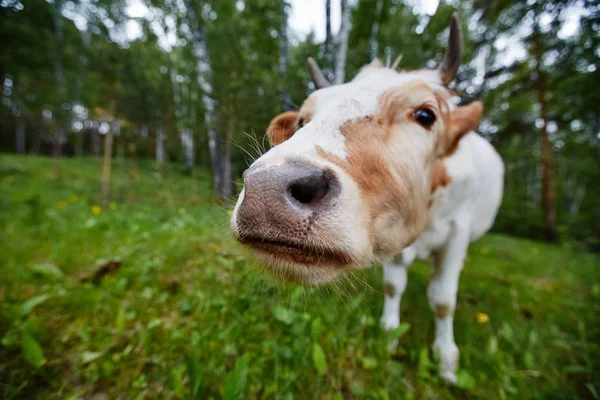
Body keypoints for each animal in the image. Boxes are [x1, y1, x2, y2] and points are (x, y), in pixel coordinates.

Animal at [232, 14, 504, 382]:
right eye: (302, 120)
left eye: (426, 115)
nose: (268, 188)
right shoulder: (393, 230)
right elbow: (393, 286)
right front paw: (389, 334)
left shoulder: (457, 230)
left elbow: (443, 299)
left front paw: (447, 361)